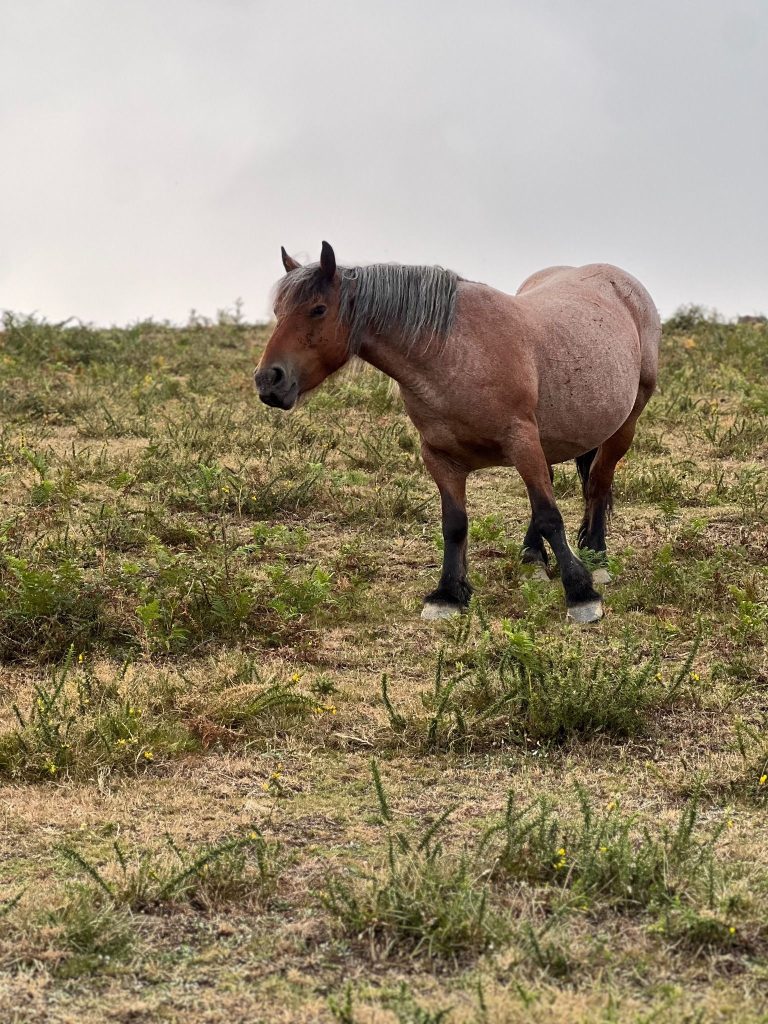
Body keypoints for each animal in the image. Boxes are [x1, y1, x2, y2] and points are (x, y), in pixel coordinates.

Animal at [255, 242, 660, 624]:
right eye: (277, 311)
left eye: (318, 309)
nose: (268, 380)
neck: (454, 353)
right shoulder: (440, 456)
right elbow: (455, 524)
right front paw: (448, 594)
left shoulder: (521, 440)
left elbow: (549, 514)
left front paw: (580, 593)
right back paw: (533, 558)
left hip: (622, 426)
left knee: (597, 484)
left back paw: (597, 558)